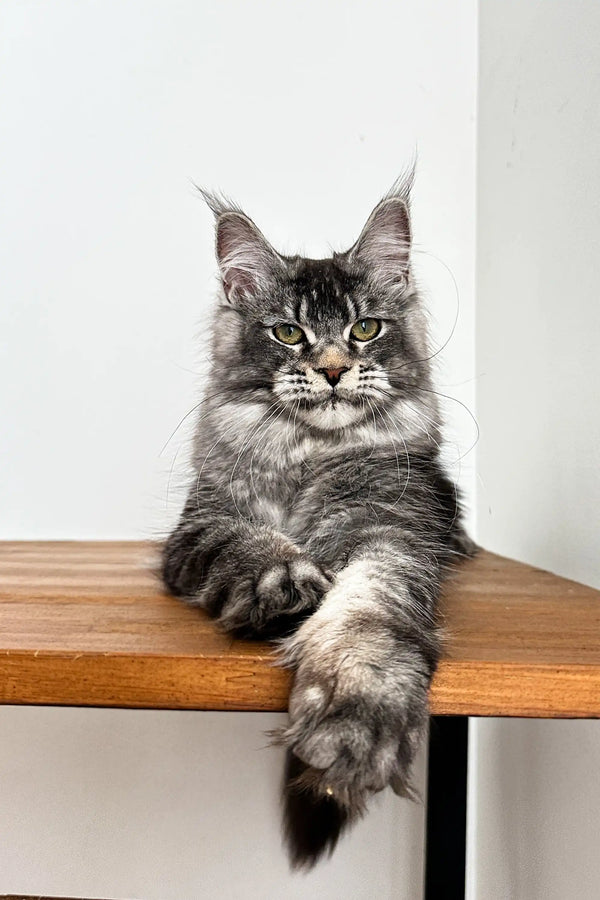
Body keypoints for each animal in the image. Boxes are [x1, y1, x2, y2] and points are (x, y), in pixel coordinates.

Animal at [163, 172, 474, 868]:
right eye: (287, 333)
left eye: (365, 328)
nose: (331, 369)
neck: (309, 458)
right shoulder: (199, 526)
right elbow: (247, 542)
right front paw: (281, 581)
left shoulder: (393, 528)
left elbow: (369, 610)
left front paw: (353, 719)